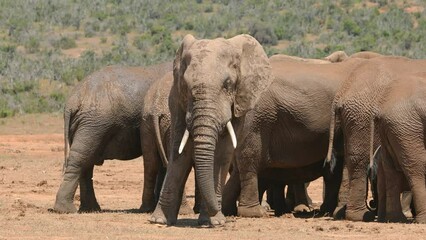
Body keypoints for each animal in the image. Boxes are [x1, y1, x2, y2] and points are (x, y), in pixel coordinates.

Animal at [148, 34, 272, 227]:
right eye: (186, 85)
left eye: (228, 84)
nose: (222, 218)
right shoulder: (177, 100)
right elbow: (179, 151)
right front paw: (159, 220)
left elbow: (221, 154)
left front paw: (214, 221)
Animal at [326, 55, 426, 221]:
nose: (372, 203)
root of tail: (343, 91)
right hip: (364, 118)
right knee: (361, 161)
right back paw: (362, 216)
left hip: (357, 119)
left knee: (351, 160)